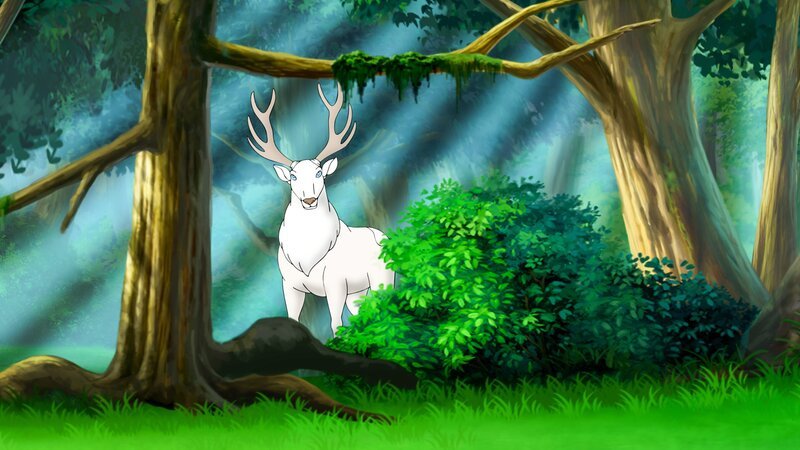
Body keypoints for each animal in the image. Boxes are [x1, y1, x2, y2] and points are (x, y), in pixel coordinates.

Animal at [246, 83, 395, 336]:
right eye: (293, 176)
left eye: (319, 173)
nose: (309, 200)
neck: (307, 259)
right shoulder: (289, 283)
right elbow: (293, 318)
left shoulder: (336, 282)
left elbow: (336, 324)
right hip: (358, 291)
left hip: (382, 278)